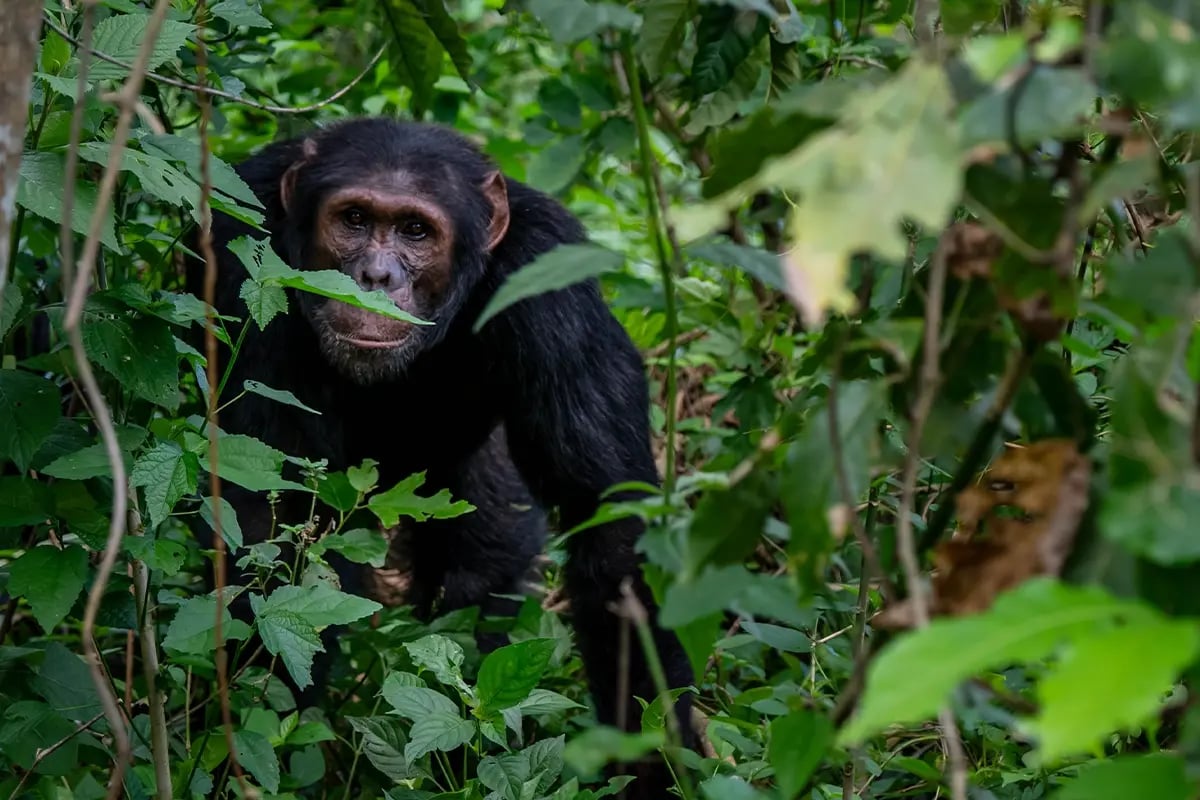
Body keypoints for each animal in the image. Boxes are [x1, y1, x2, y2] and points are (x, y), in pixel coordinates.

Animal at [182, 117, 700, 796]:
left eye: (415, 231)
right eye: (353, 219)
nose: (375, 276)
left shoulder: (552, 276)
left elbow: (609, 524)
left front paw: (656, 758)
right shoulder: (235, 242)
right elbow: (264, 508)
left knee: (482, 567)